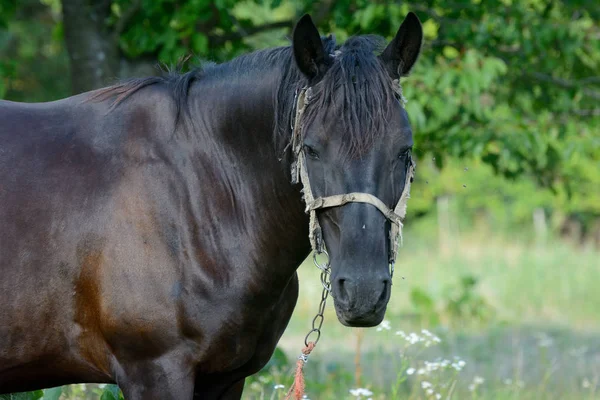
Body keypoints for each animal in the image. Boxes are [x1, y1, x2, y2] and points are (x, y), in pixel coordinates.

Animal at [0, 12, 422, 400]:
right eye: (312, 149)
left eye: (404, 151)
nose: (364, 291)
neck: (195, 193)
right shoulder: (154, 372)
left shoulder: (226, 378)